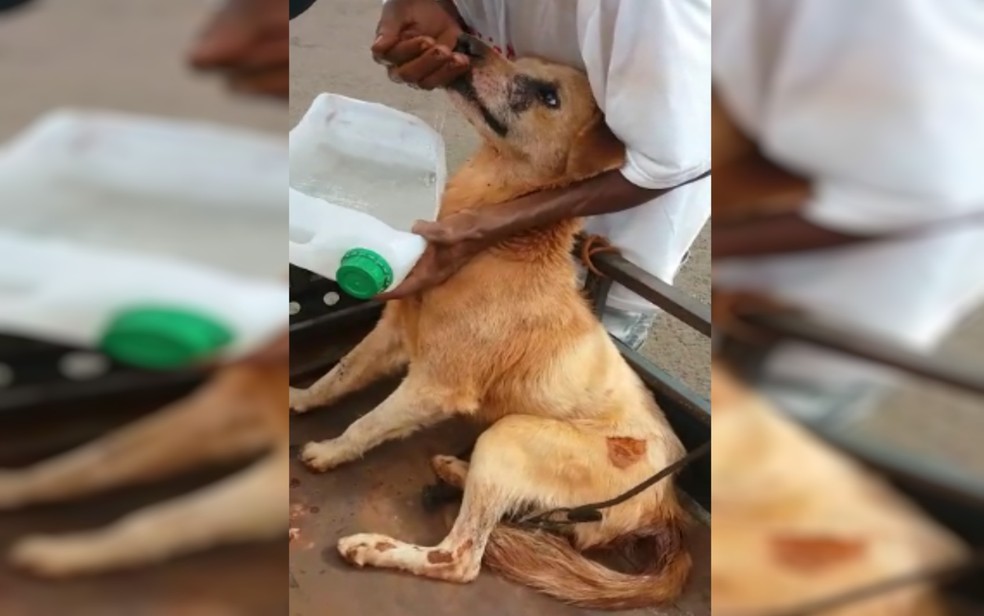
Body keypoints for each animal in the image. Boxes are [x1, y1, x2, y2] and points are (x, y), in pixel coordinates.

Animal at [0, 360, 290, 576]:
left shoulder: (275, 478)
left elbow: (162, 518)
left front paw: (74, 551)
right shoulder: (220, 408)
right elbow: (88, 462)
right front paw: (13, 484)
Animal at [288, 33, 692, 608]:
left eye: (549, 95)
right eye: (519, 57)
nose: (466, 41)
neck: (499, 247)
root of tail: (667, 504)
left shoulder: (435, 385)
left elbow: (367, 422)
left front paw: (328, 451)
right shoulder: (393, 332)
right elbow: (337, 374)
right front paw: (298, 399)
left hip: (509, 435)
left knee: (460, 558)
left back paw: (374, 546)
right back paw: (454, 470)